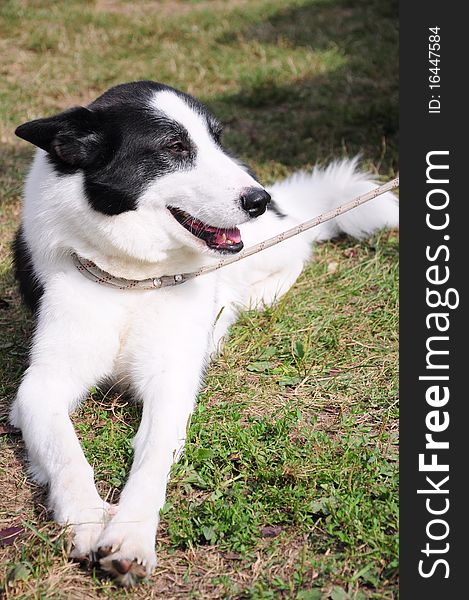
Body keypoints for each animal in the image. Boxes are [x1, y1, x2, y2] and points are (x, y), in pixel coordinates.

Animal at [9, 79, 398, 584]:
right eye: (174, 148)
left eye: (216, 139)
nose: (258, 199)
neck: (134, 279)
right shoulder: (39, 388)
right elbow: (66, 454)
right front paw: (88, 520)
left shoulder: (170, 382)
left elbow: (152, 458)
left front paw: (131, 537)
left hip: (265, 246)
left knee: (300, 243)